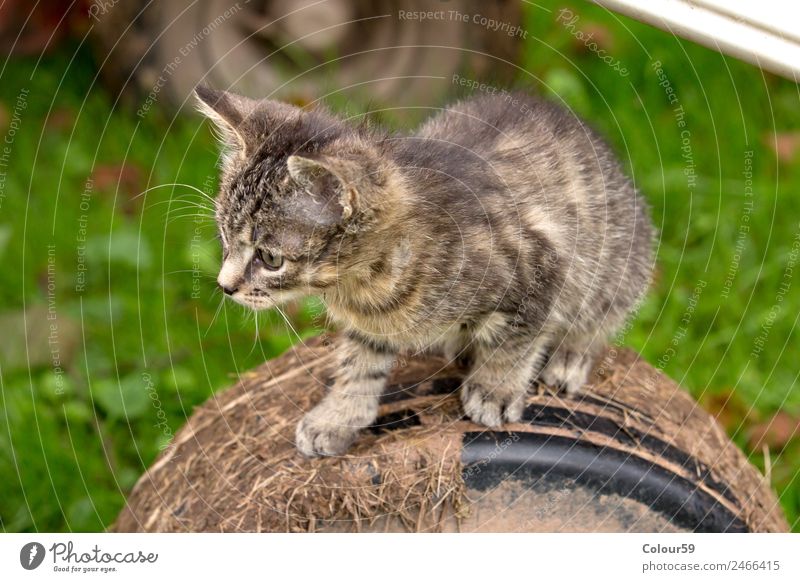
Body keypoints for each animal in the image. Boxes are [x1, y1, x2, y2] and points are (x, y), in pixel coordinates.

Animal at [197, 86, 652, 458]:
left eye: (270, 258)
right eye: (224, 236)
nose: (225, 286)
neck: (363, 284)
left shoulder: (542, 263)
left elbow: (517, 341)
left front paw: (496, 389)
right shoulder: (372, 322)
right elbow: (359, 365)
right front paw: (338, 416)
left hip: (619, 258)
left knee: (600, 313)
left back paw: (570, 355)